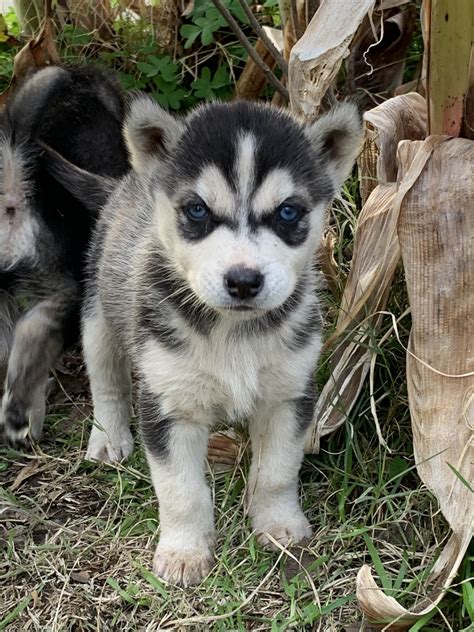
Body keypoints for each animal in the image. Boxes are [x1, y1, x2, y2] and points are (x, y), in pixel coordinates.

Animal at [56, 96, 360, 584]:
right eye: (198, 210)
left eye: (288, 212)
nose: (243, 281)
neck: (232, 331)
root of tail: (128, 181)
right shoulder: (168, 405)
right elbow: (181, 489)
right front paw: (184, 552)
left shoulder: (289, 395)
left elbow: (278, 471)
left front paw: (278, 525)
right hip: (99, 314)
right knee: (106, 380)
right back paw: (107, 437)